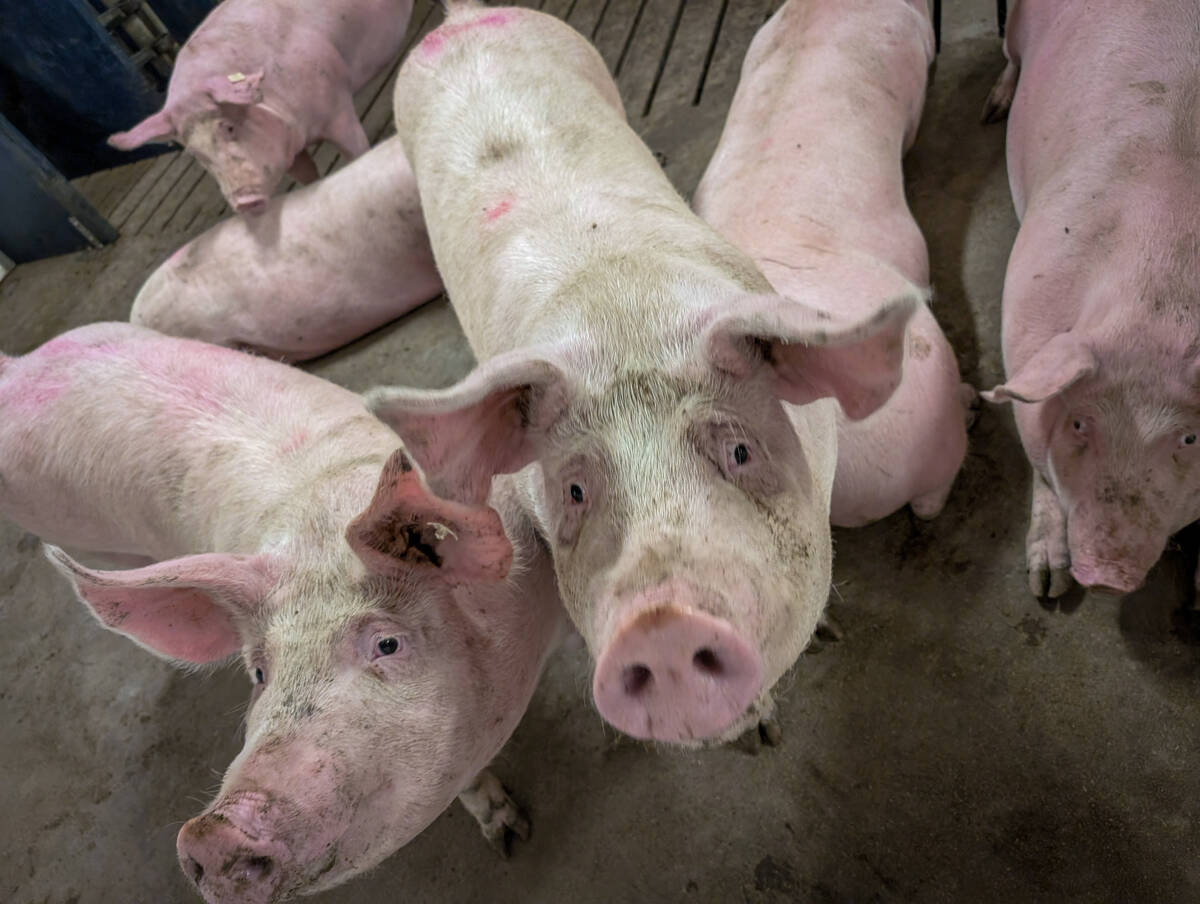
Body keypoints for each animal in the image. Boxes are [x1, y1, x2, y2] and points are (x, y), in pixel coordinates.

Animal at [0, 323, 565, 903]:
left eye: (387, 643)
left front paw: (517, 836)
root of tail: (16, 367)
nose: (212, 835)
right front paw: (509, 835)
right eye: (259, 672)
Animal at [108, 0, 414, 214]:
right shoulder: (290, 148)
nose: (244, 202)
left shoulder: (339, 109)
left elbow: (358, 153)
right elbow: (307, 177)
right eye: (196, 154)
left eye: (229, 127)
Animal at [982, 0, 1200, 597]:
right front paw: (1046, 588)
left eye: (1190, 438)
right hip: (1016, 23)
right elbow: (1039, 469)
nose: (1106, 574)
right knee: (1008, 56)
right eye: (1080, 424)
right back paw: (993, 108)